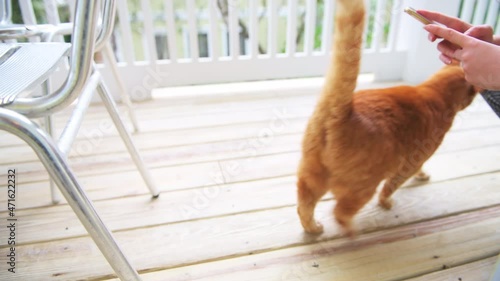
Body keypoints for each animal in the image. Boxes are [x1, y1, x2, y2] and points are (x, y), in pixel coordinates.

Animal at [296, 0, 476, 235]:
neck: (434, 92)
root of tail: (342, 110)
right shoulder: (411, 160)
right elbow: (392, 186)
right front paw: (387, 201)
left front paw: (422, 175)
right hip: (363, 186)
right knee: (340, 213)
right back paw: (352, 231)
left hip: (312, 175)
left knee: (304, 204)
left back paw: (313, 228)